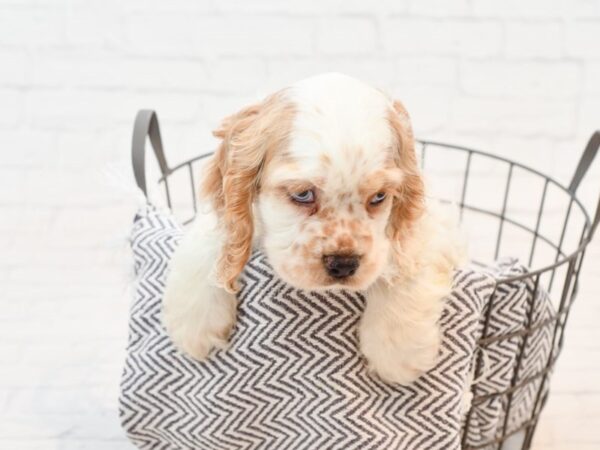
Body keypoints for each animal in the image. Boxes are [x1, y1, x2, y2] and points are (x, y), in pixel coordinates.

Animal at [161, 73, 464, 384]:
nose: (343, 264)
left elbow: (407, 256)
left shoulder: (436, 224)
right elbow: (212, 235)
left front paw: (397, 352)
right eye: (303, 194)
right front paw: (194, 325)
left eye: (379, 197)